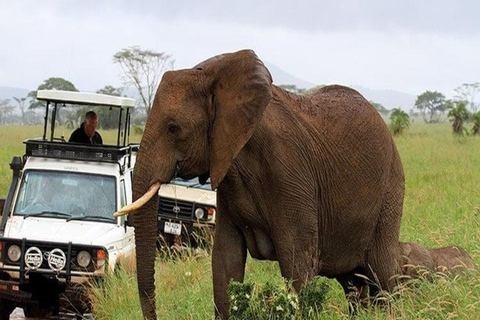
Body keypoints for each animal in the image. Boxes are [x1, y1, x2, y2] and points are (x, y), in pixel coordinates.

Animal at [115, 48, 404, 318]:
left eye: (173, 128)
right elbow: (225, 260)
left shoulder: (290, 171)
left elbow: (298, 264)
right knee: (355, 284)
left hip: (391, 188)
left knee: (382, 272)